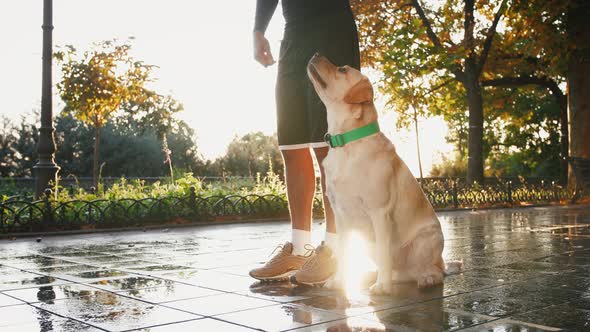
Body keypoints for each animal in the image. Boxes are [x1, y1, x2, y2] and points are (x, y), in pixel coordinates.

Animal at [310, 53, 462, 294]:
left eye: (342, 69)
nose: (315, 54)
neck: (346, 143)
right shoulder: (340, 216)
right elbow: (342, 253)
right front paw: (338, 281)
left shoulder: (379, 212)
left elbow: (383, 253)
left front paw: (382, 287)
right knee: (401, 273)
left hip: (426, 239)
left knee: (434, 270)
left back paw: (425, 278)